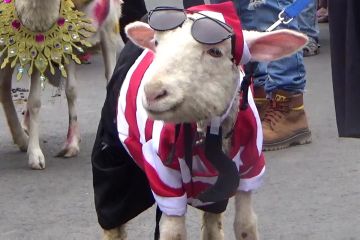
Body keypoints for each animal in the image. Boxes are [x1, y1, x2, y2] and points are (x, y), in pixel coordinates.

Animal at [91, 2, 308, 240]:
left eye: (215, 52)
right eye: (156, 44)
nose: (153, 92)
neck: (207, 130)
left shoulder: (249, 169)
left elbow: (245, 225)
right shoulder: (164, 177)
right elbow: (173, 232)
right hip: (112, 158)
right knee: (112, 220)